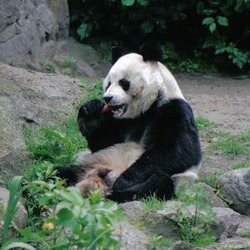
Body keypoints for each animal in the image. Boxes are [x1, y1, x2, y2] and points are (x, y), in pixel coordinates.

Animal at [56, 44, 201, 202]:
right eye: (108, 84)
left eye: (123, 83)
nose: (107, 98)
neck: (145, 110)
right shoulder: (121, 122)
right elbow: (103, 143)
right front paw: (92, 110)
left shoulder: (174, 110)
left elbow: (179, 151)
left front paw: (124, 180)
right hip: (91, 163)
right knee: (60, 171)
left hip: (177, 180)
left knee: (159, 182)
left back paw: (115, 193)